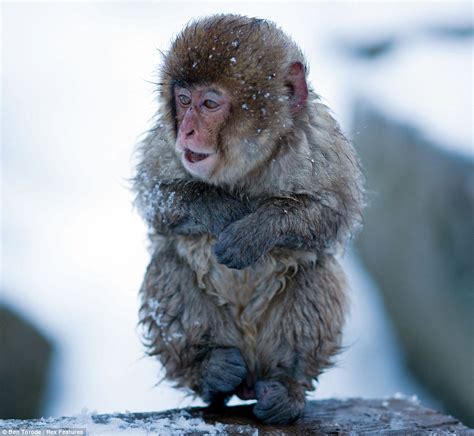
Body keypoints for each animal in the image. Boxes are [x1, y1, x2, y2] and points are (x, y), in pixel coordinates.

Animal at [133, 15, 362, 424]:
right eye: (184, 101)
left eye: (210, 103)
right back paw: (209, 371)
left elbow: (333, 212)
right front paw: (223, 211)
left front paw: (254, 231)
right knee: (169, 263)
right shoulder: (165, 143)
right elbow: (154, 193)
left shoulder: (319, 141)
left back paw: (286, 386)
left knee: (317, 272)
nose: (187, 130)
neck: (248, 165)